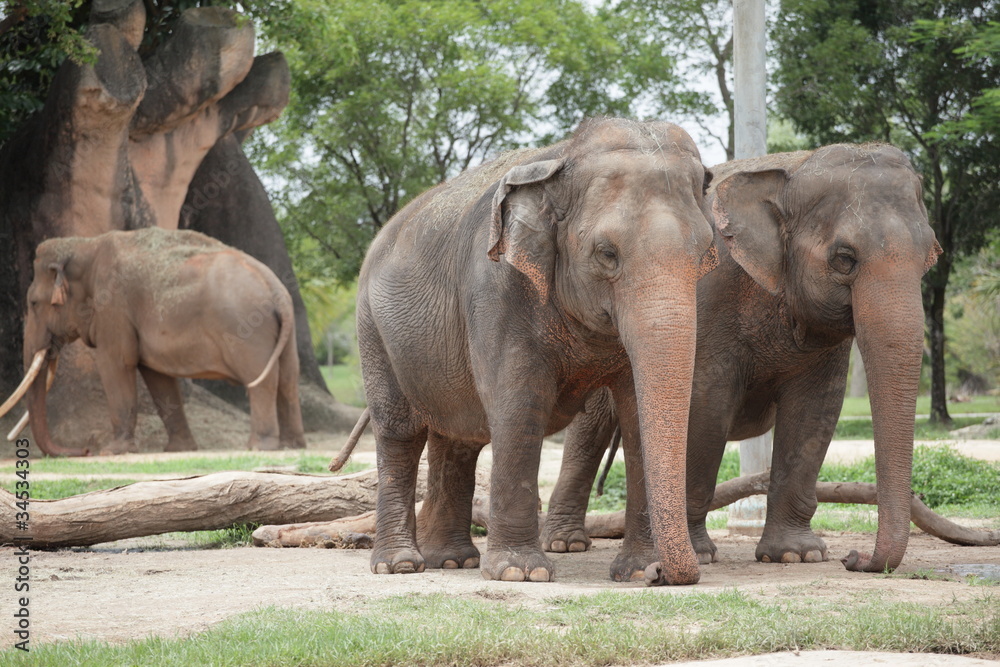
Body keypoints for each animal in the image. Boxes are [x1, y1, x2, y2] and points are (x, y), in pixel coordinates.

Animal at [0, 227, 306, 456]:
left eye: (34, 304)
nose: (85, 450)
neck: (86, 245)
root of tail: (274, 286)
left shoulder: (113, 307)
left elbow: (115, 364)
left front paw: (112, 451)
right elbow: (158, 379)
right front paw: (179, 450)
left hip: (248, 328)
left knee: (261, 379)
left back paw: (259, 447)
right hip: (285, 331)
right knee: (289, 379)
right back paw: (293, 445)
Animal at [358, 117, 718, 585]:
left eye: (703, 254)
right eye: (607, 253)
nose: (664, 574)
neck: (563, 157)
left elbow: (636, 409)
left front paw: (637, 571)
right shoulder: (496, 287)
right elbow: (518, 402)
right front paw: (520, 572)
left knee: (458, 436)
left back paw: (452, 560)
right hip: (373, 330)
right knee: (399, 432)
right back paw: (400, 564)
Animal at [541, 143, 941, 578]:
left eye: (930, 258)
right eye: (844, 258)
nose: (854, 558)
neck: (792, 168)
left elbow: (815, 413)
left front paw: (796, 555)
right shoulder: (708, 301)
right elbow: (705, 409)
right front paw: (699, 555)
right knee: (589, 432)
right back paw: (565, 543)